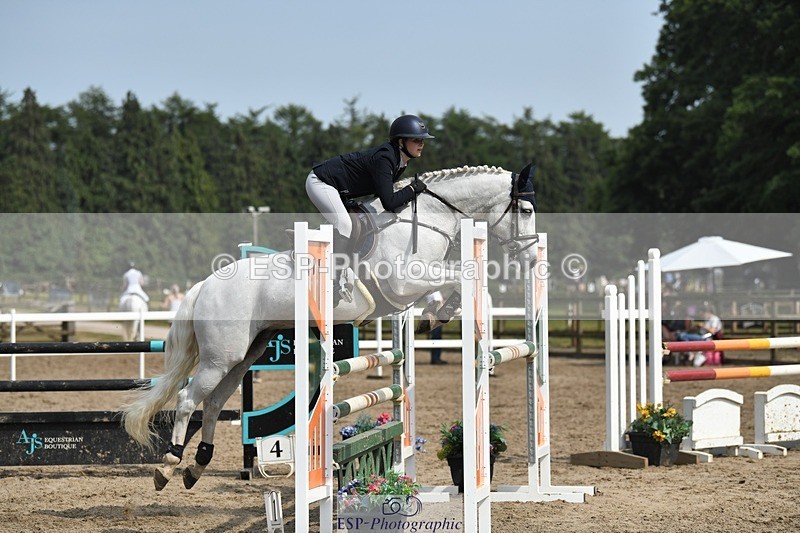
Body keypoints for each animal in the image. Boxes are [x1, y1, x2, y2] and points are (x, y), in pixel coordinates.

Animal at [120, 164, 537, 491]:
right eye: (527, 208)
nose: (532, 256)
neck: (427, 219)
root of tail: (205, 285)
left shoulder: (410, 288)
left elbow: (457, 280)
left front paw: (440, 312)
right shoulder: (403, 282)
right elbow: (460, 276)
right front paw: (443, 312)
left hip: (243, 355)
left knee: (213, 402)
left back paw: (197, 466)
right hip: (221, 357)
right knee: (187, 400)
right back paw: (168, 466)